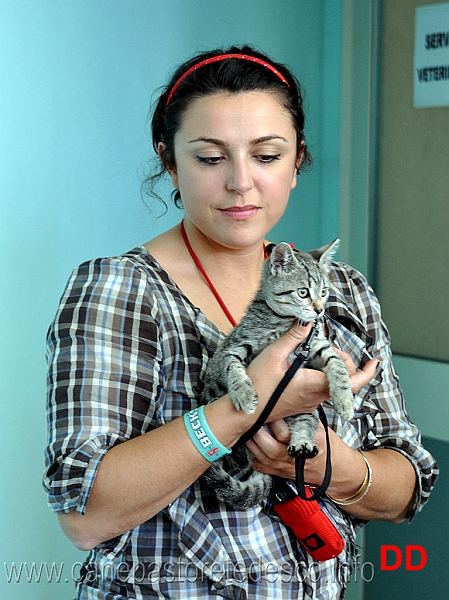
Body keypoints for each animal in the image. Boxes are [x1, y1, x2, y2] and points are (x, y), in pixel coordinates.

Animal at [201, 239, 352, 506]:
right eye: (303, 292)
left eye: (324, 292)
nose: (319, 310)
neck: (284, 323)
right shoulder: (235, 347)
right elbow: (231, 366)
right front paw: (244, 394)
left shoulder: (318, 347)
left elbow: (337, 364)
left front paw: (344, 399)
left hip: (306, 410)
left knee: (305, 421)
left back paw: (302, 444)